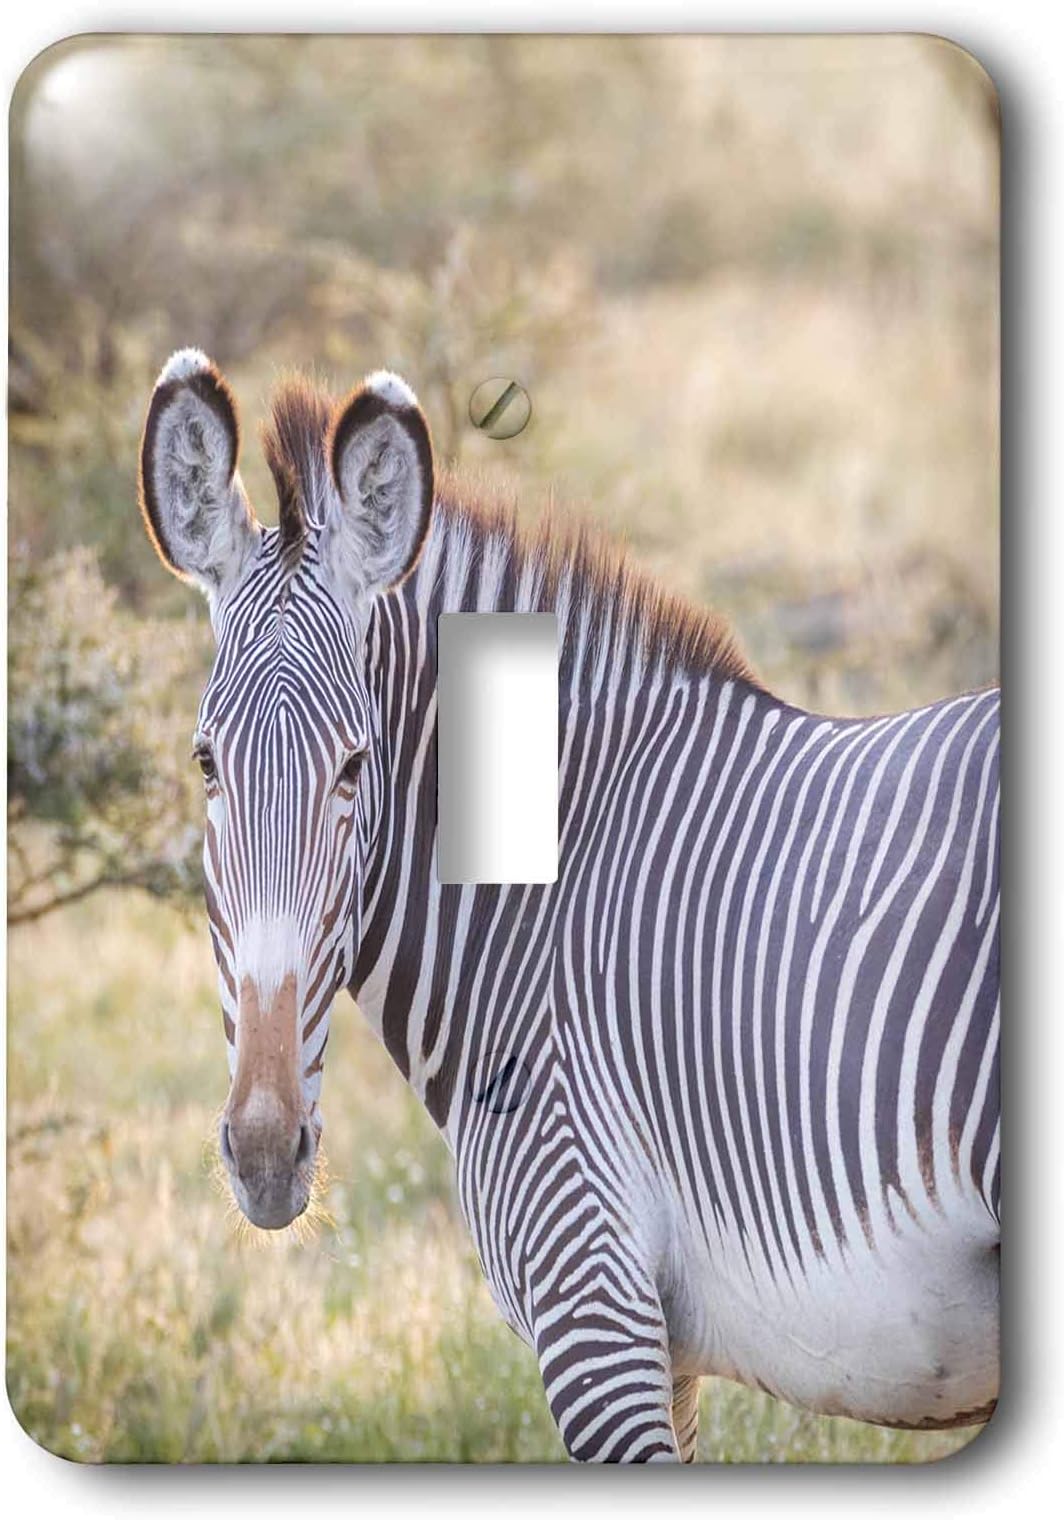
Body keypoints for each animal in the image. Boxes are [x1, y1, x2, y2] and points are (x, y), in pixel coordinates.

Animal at [138, 349, 999, 1462]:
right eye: (206, 765)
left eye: (355, 767)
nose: (262, 1152)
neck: (539, 912)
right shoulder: (664, 1348)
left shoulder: (591, 1297)